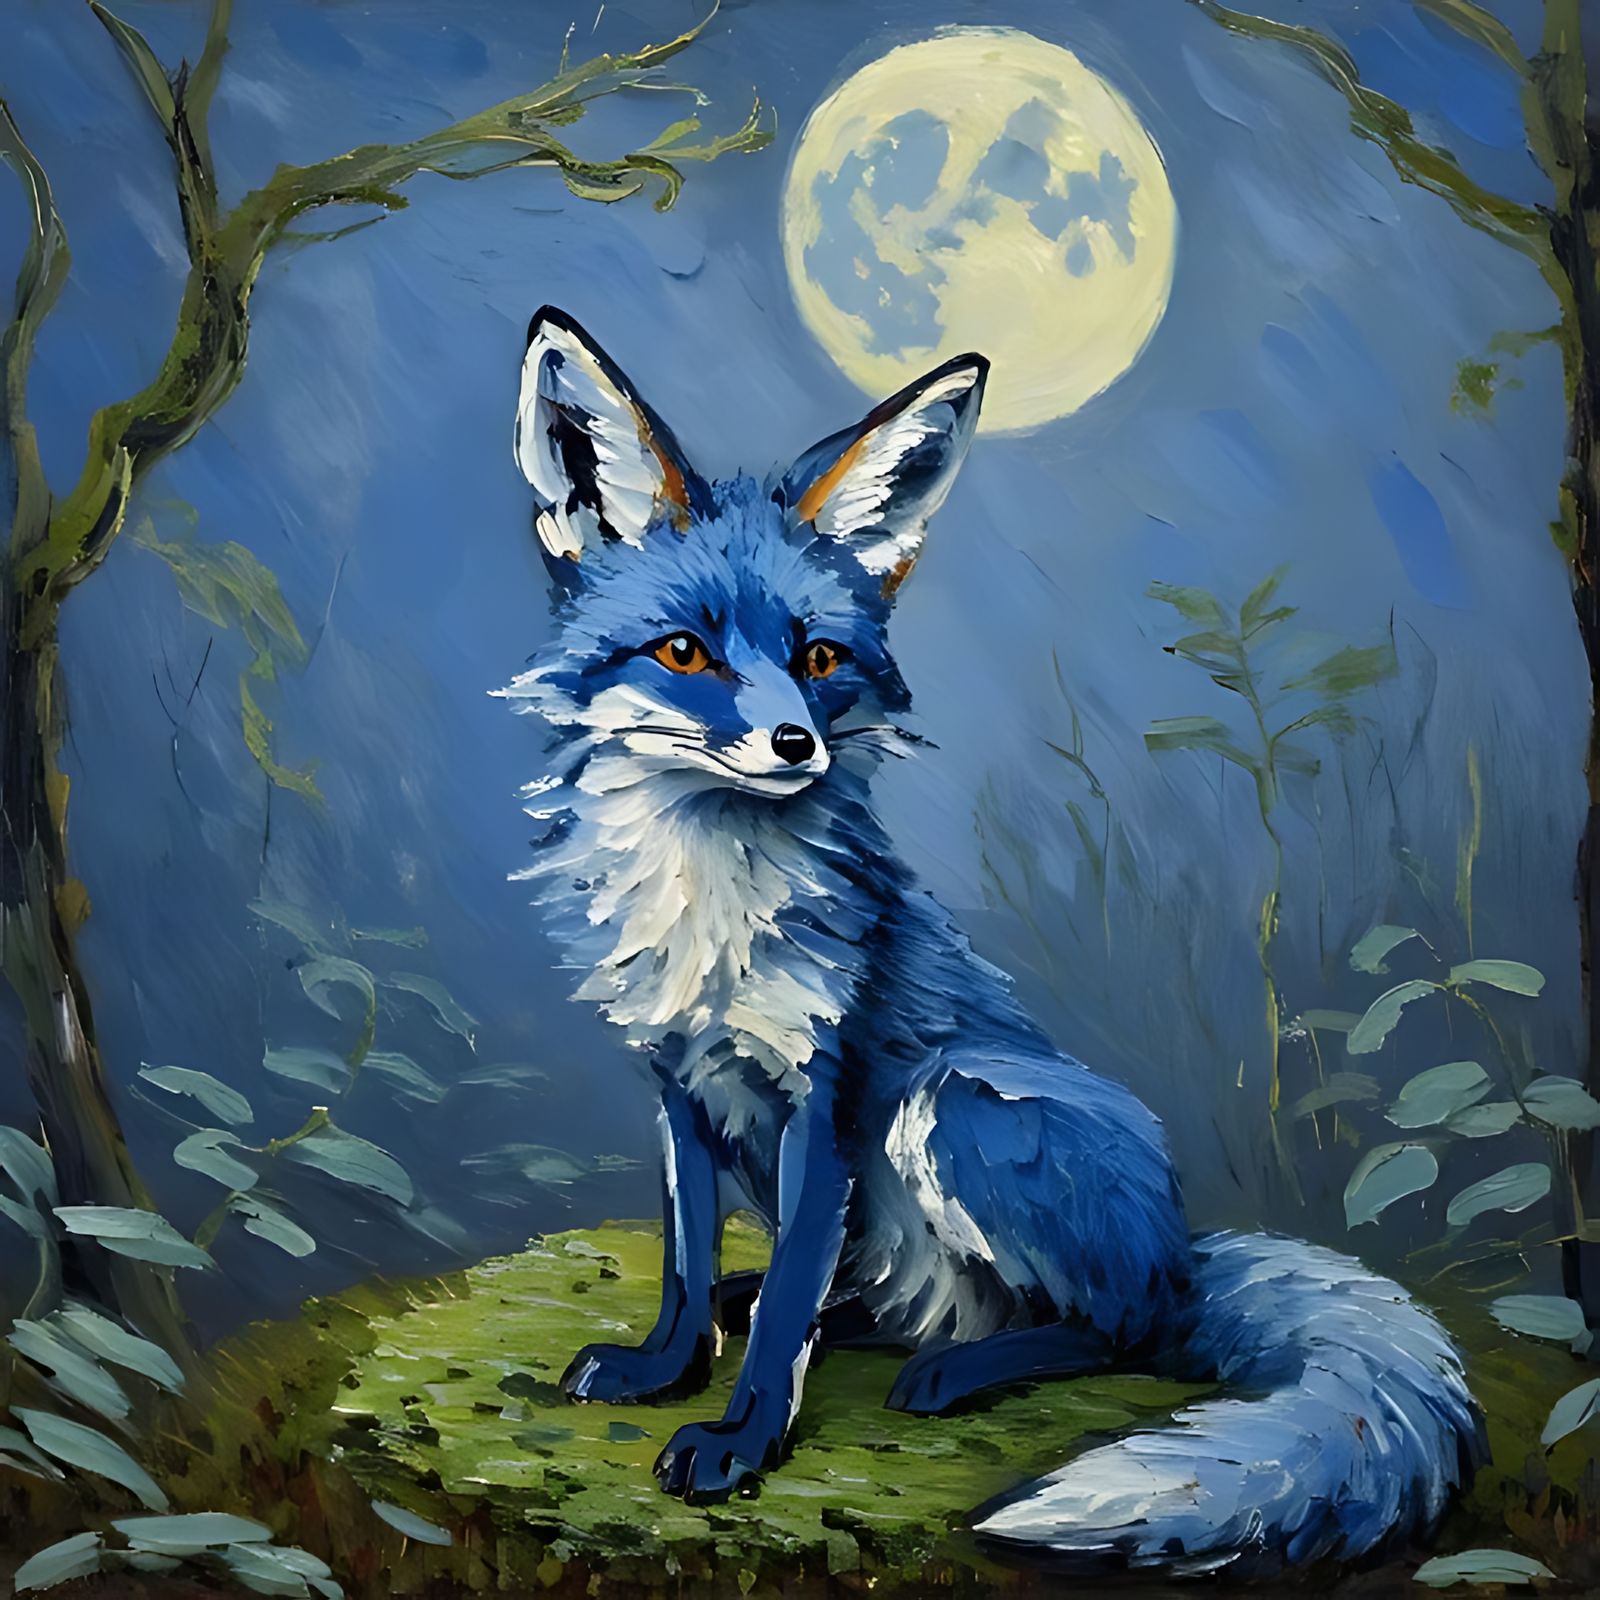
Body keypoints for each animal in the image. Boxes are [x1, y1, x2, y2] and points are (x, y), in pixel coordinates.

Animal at [499, 306, 1485, 1577]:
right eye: (683, 652)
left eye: (818, 659)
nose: (794, 744)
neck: (712, 915)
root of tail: (1180, 1241)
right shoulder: (672, 1082)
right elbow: (684, 1259)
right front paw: (668, 1368)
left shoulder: (831, 1091)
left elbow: (784, 1320)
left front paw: (741, 1439)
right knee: (867, 1298)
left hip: (956, 1100)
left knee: (1119, 1329)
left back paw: (960, 1369)